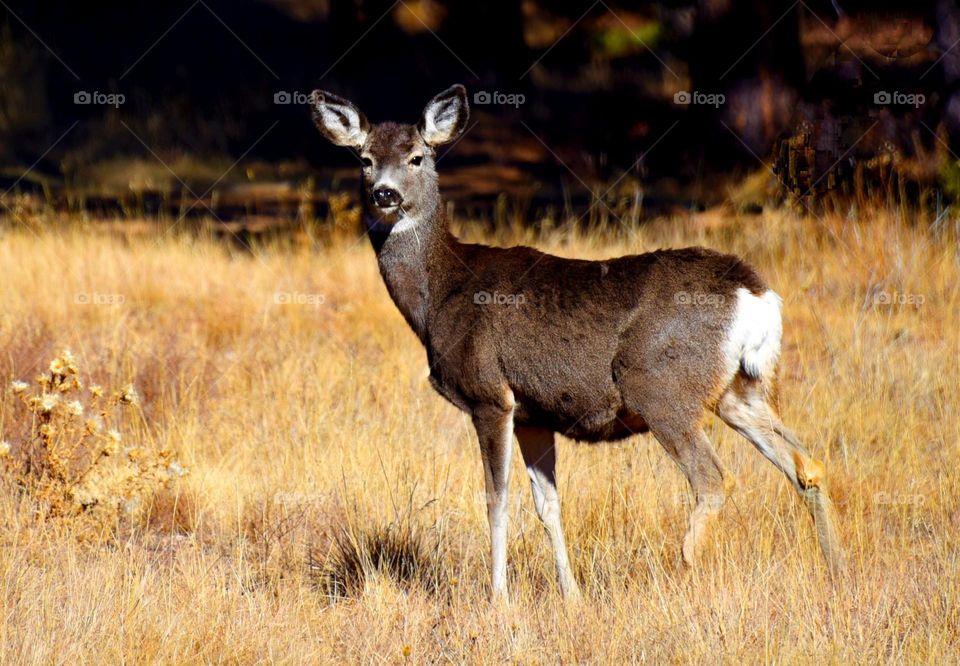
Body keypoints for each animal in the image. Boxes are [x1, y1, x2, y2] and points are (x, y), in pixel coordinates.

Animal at [309, 84, 845, 601]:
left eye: (418, 156)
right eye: (365, 158)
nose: (384, 193)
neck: (439, 294)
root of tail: (755, 294)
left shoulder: (490, 395)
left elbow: (496, 500)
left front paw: (498, 599)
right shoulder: (533, 413)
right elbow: (548, 505)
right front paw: (570, 594)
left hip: (660, 385)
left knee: (713, 478)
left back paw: (686, 563)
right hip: (740, 388)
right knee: (807, 464)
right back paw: (832, 570)